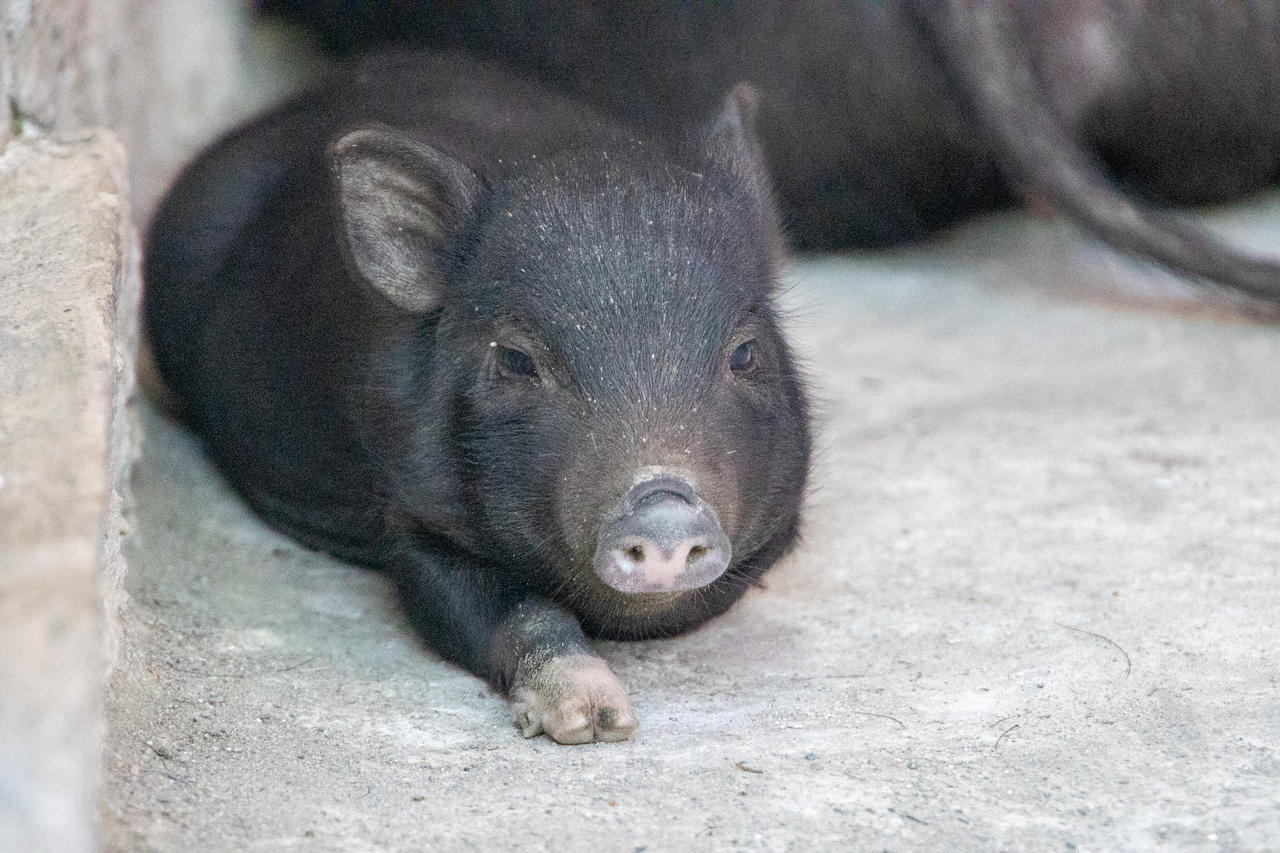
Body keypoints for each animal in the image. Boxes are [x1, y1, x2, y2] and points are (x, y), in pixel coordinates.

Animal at [142, 53, 808, 742]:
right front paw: (594, 722)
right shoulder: (415, 521)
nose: (664, 506)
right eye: (516, 360)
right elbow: (499, 610)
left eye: (745, 354)